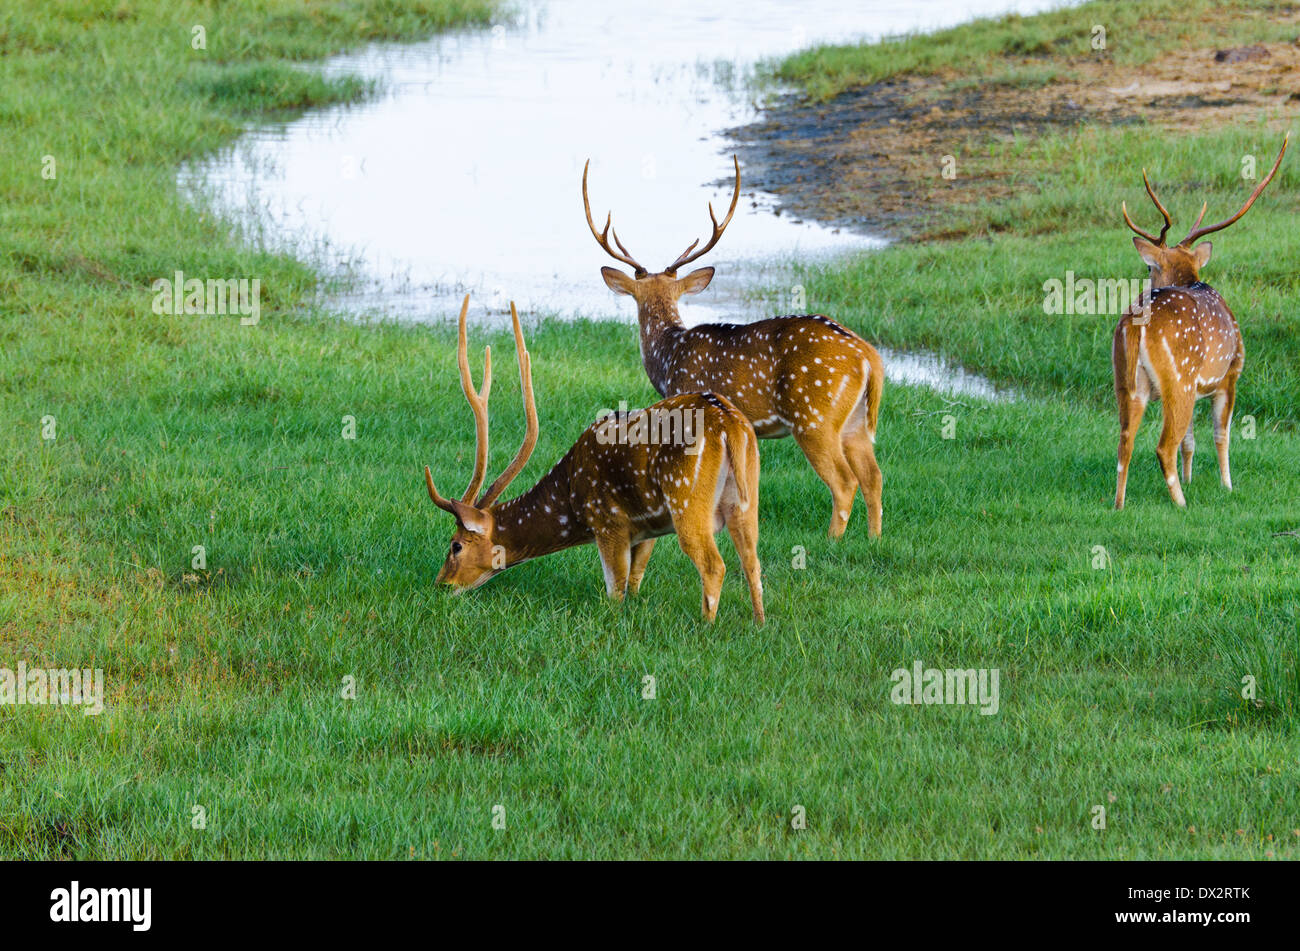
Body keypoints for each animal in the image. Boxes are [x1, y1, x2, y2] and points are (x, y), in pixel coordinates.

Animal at [421, 297, 764, 623]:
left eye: (455, 544)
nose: (440, 585)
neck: (571, 500)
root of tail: (729, 425)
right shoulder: (646, 531)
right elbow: (635, 583)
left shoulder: (609, 521)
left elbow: (615, 594)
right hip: (746, 494)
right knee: (752, 560)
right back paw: (758, 623)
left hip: (686, 498)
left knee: (714, 564)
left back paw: (707, 624)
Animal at [585, 159, 889, 537]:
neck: (668, 357)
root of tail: (868, 357)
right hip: (856, 421)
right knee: (874, 476)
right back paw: (873, 538)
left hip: (814, 416)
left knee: (845, 481)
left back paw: (833, 540)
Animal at [1107, 133, 1289, 511]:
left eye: (1149, 267)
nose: (1147, 278)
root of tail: (1135, 324)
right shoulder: (1231, 374)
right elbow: (1221, 435)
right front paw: (1227, 486)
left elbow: (1191, 440)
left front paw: (1192, 479)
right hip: (1180, 377)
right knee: (1164, 445)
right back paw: (1181, 504)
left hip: (1127, 381)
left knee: (1125, 440)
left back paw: (1119, 504)